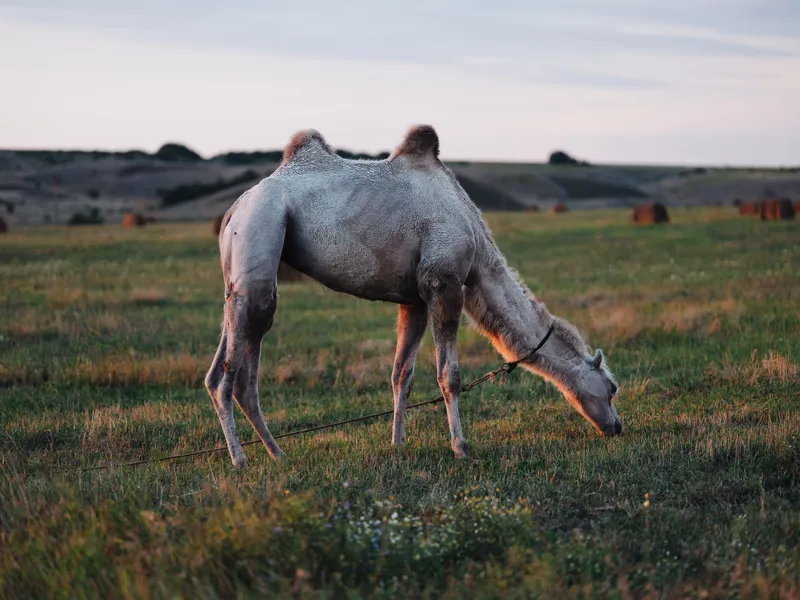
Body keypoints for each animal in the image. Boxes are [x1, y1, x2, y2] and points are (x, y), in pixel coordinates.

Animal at [205, 125, 621, 468]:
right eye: (613, 388)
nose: (617, 427)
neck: (477, 250)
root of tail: (234, 209)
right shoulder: (443, 283)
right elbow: (449, 375)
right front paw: (461, 447)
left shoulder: (415, 299)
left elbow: (401, 373)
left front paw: (398, 442)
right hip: (260, 233)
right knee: (230, 373)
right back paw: (241, 460)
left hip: (241, 277)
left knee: (233, 369)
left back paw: (278, 454)